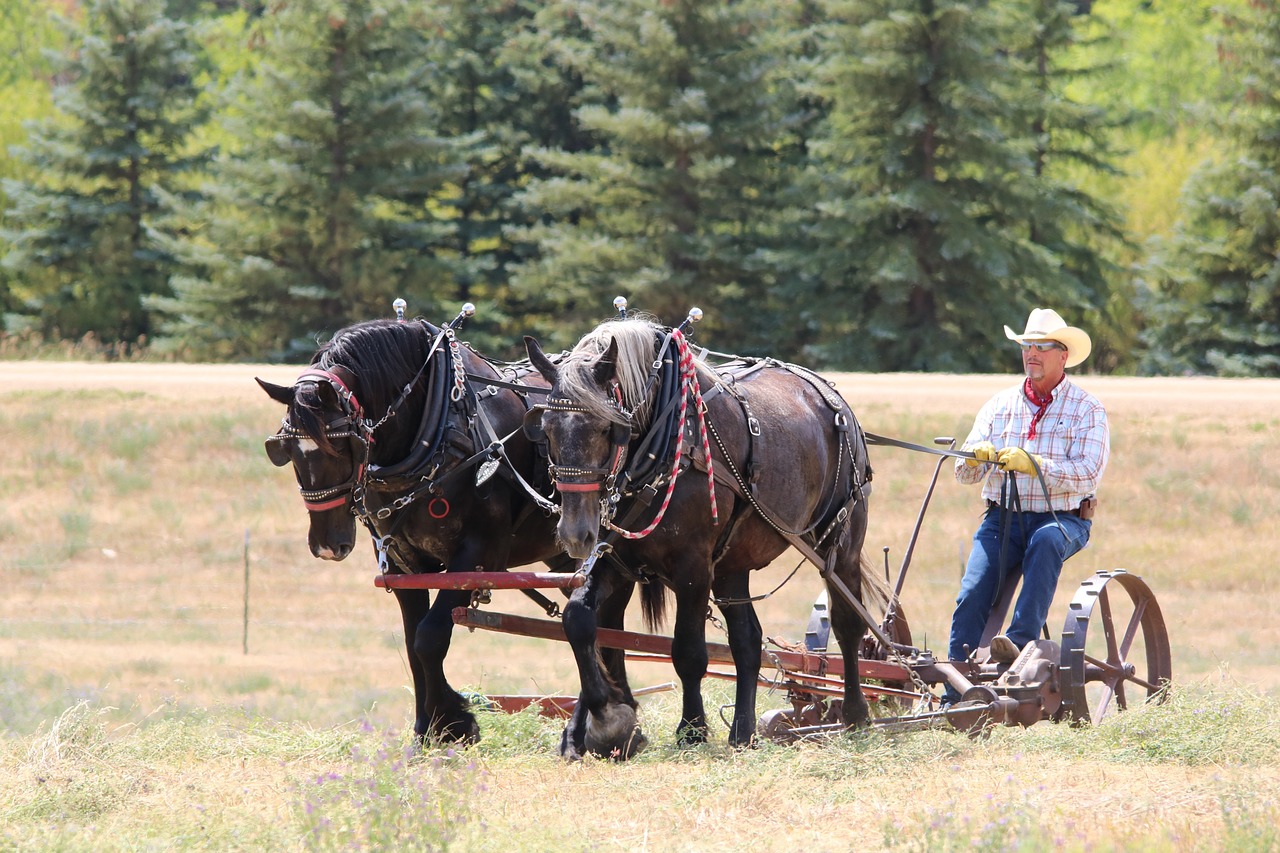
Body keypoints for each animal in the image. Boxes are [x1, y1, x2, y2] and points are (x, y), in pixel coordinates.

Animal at [258, 315, 581, 742]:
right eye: (286, 450)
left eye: (343, 447)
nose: (327, 545)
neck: (440, 429)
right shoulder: (403, 564)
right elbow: (414, 645)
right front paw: (427, 729)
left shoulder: (478, 555)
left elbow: (430, 639)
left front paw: (455, 722)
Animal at [524, 318, 885, 758]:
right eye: (545, 431)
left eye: (608, 428)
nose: (576, 533)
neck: (664, 446)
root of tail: (831, 395)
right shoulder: (612, 560)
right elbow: (579, 621)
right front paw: (607, 720)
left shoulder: (693, 567)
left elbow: (688, 651)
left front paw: (691, 729)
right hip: (733, 562)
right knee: (747, 639)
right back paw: (743, 731)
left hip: (841, 542)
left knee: (849, 623)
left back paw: (855, 714)